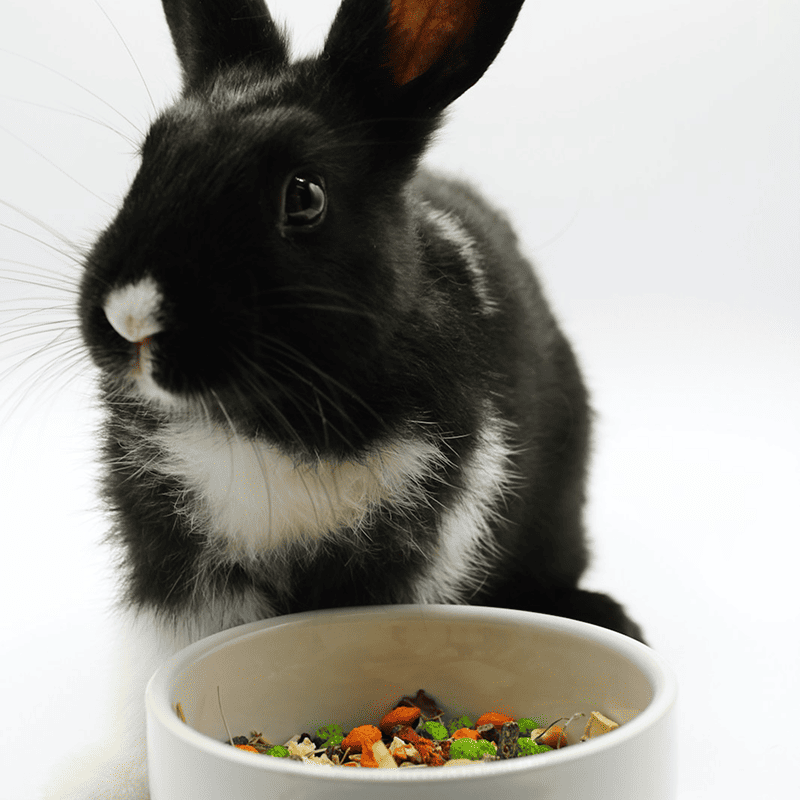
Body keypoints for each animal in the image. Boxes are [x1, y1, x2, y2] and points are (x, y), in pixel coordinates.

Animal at [50, 0, 644, 797]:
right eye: (150, 157)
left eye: (304, 196)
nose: (131, 316)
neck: (270, 417)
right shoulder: (176, 566)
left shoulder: (411, 544)